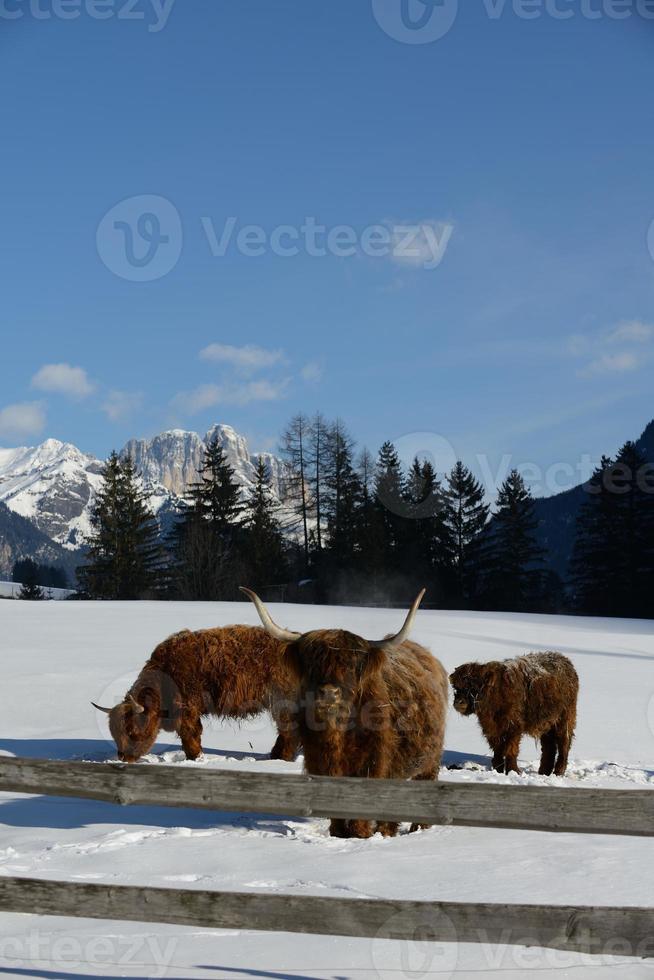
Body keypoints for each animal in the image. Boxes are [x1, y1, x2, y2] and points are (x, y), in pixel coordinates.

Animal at [91, 628, 300, 764]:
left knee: (288, 730)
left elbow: (190, 734)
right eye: (114, 733)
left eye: (133, 731)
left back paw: (281, 758)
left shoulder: (188, 709)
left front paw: (195, 757)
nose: (123, 757)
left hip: (282, 701)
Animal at [241, 584, 452, 840]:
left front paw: (361, 836)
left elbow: (362, 814)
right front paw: (339, 834)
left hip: (430, 759)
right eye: (312, 664)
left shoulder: (372, 767)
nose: (329, 693)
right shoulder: (321, 764)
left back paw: (414, 829)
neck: (337, 735)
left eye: (352, 666)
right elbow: (337, 814)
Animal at [452, 656, 580, 776]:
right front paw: (498, 770)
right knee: (549, 747)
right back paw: (544, 772)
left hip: (565, 719)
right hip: (546, 724)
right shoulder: (492, 729)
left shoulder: (513, 727)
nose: (459, 702)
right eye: (456, 687)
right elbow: (497, 750)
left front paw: (513, 770)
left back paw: (558, 772)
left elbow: (510, 750)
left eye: (475, 687)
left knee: (564, 744)